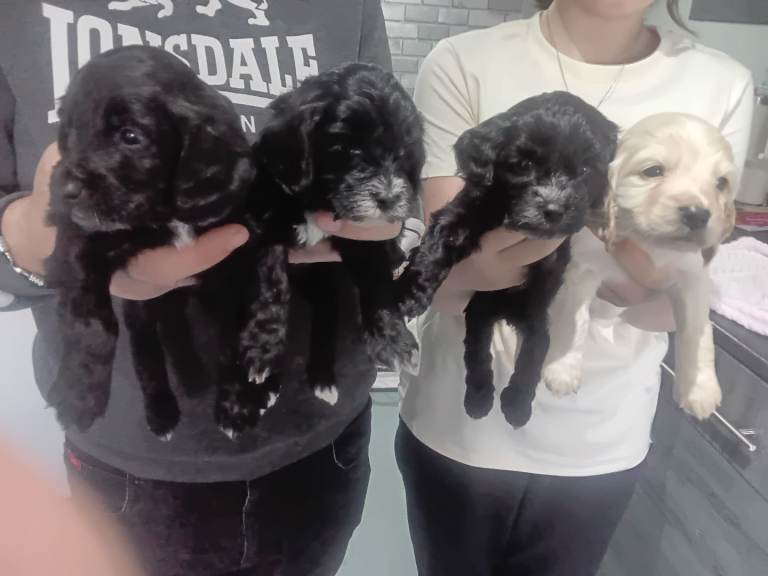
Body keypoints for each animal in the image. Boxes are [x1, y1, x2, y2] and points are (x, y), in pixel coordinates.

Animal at [45, 46, 253, 437]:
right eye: (70, 131)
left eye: (130, 136)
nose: (63, 191)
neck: (166, 211)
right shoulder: (80, 243)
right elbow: (92, 326)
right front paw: (79, 396)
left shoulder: (238, 255)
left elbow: (237, 334)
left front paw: (237, 404)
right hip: (143, 304)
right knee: (149, 346)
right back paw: (162, 410)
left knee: (173, 329)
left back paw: (194, 379)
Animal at [229, 62, 424, 427]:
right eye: (350, 149)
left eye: (403, 152)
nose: (389, 199)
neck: (318, 197)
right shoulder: (264, 220)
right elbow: (271, 284)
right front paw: (263, 347)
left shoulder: (364, 235)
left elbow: (376, 282)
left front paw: (393, 340)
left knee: (328, 310)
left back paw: (322, 377)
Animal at [396, 92, 618, 428]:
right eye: (524, 164)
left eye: (584, 170)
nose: (553, 209)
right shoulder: (467, 209)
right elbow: (439, 242)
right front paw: (412, 290)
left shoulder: (549, 271)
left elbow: (532, 357)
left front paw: (516, 406)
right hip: (479, 311)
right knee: (477, 352)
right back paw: (478, 400)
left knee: (531, 348)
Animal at [542, 113, 736, 420]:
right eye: (653, 171)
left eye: (721, 182)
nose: (697, 214)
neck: (649, 241)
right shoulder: (583, 267)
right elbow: (574, 318)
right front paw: (563, 368)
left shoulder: (692, 277)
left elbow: (697, 330)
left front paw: (699, 387)